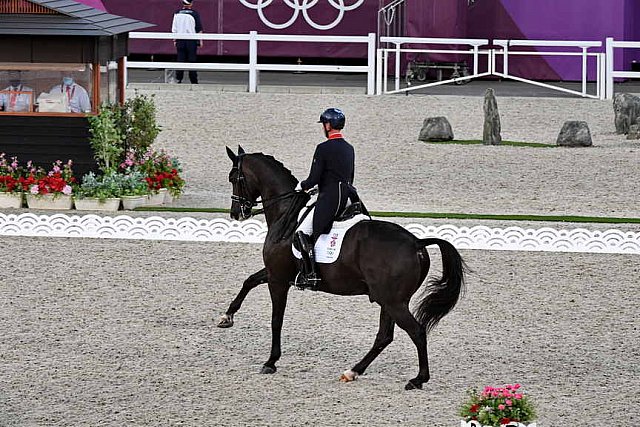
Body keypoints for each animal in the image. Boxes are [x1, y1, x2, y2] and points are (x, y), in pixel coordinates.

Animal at [224, 147, 464, 392]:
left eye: (233, 178)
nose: (236, 213)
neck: (286, 214)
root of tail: (417, 243)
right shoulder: (276, 273)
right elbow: (249, 280)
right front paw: (227, 317)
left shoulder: (278, 280)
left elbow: (276, 320)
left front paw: (271, 361)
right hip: (389, 300)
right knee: (384, 336)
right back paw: (353, 371)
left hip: (393, 302)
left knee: (416, 331)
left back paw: (418, 379)